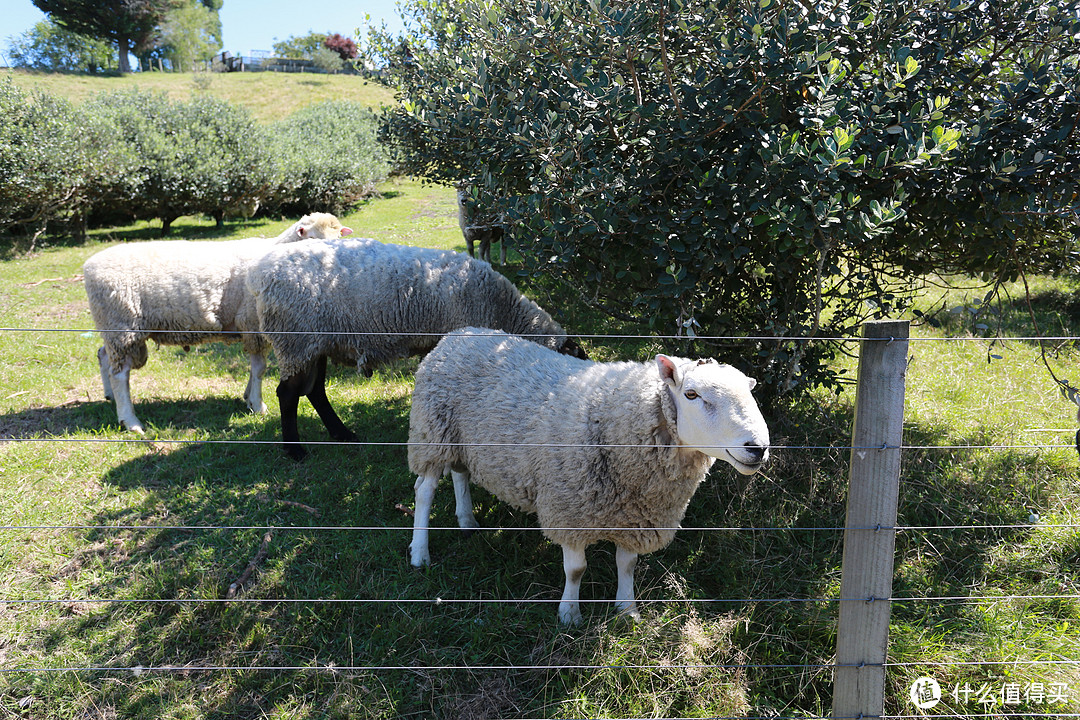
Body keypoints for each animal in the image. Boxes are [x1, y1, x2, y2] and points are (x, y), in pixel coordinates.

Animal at [85, 211, 354, 431]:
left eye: (338, 238)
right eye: (313, 238)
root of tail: (89, 265)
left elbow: (256, 368)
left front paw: (248, 397)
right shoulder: (252, 324)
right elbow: (260, 368)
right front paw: (257, 405)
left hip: (113, 328)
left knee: (103, 355)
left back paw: (109, 395)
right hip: (122, 325)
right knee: (120, 375)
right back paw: (130, 421)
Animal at [247, 239, 587, 459]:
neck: (503, 310)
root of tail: (262, 274)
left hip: (314, 343)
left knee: (315, 391)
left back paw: (342, 434)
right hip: (295, 340)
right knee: (288, 394)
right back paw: (295, 450)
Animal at [406, 328, 768, 626]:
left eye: (750, 395)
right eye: (692, 394)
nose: (758, 448)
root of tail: (458, 333)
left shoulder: (636, 517)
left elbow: (627, 564)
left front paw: (627, 610)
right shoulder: (569, 507)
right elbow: (576, 570)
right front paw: (569, 614)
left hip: (460, 439)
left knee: (460, 474)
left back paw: (467, 520)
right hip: (432, 432)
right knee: (424, 490)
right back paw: (420, 553)